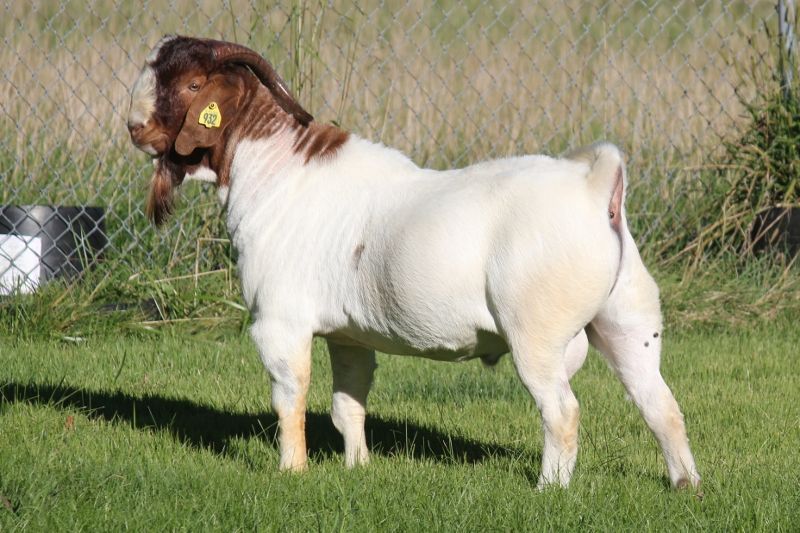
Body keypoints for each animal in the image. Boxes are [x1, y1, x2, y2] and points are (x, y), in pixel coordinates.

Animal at [126, 35, 700, 488]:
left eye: (194, 85)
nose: (134, 128)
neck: (276, 172)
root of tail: (596, 186)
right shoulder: (348, 335)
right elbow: (347, 405)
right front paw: (357, 467)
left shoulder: (279, 322)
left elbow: (290, 399)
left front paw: (293, 471)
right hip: (628, 320)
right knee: (660, 403)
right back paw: (685, 484)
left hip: (536, 333)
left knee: (562, 411)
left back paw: (549, 489)